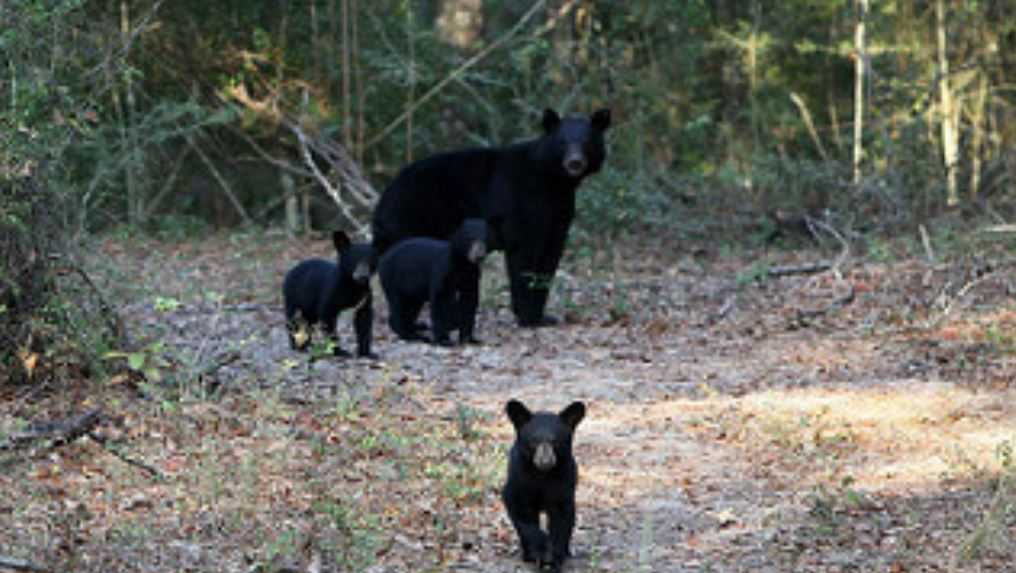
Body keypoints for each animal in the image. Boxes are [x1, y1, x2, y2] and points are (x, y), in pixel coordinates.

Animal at [282, 229, 377, 357]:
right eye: (352, 259)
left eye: (370, 260)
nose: (362, 275)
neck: (353, 286)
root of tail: (291, 271)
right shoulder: (331, 294)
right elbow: (328, 320)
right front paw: (338, 351)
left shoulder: (365, 298)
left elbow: (364, 322)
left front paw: (367, 353)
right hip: (293, 297)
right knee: (294, 320)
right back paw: (298, 346)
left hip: (310, 307)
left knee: (308, 321)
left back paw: (307, 343)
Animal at [373, 107, 609, 327]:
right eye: (562, 142)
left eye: (586, 142)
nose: (575, 162)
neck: (554, 182)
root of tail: (384, 198)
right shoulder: (523, 203)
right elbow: (524, 254)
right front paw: (528, 317)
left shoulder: (559, 213)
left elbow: (549, 258)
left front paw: (543, 316)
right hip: (413, 218)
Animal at [501, 398, 589, 573]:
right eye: (534, 441)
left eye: (555, 441)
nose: (545, 460)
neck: (542, 475)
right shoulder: (519, 479)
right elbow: (521, 512)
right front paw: (541, 547)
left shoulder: (564, 480)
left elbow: (561, 518)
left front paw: (554, 558)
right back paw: (528, 554)